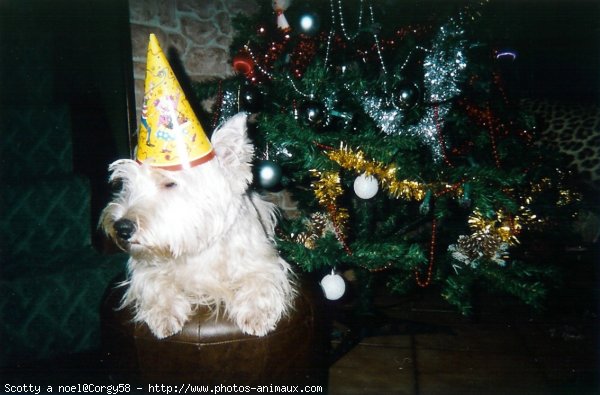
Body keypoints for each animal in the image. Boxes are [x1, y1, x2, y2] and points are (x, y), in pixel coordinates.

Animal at [100, 113, 296, 338]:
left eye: (169, 183)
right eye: (127, 184)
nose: (121, 228)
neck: (198, 247)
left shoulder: (262, 262)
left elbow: (260, 280)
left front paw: (257, 315)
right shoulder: (147, 267)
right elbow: (156, 283)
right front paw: (164, 315)